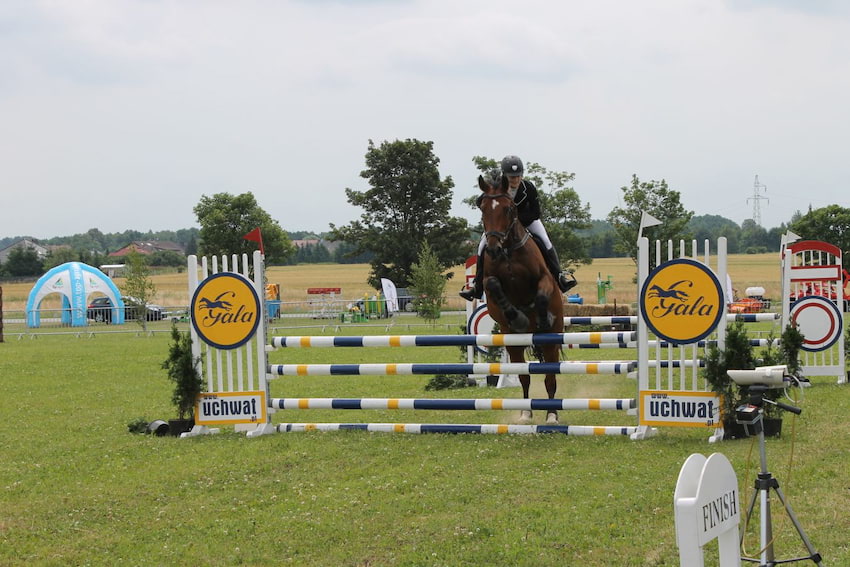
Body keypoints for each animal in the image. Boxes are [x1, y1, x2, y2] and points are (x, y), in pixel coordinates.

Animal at [476, 175, 564, 424]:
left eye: (508, 209)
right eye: (482, 208)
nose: (493, 249)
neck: (508, 251)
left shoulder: (544, 279)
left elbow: (541, 296)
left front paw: (542, 318)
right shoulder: (489, 284)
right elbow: (493, 285)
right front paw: (518, 318)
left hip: (552, 341)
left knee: (550, 377)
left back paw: (552, 414)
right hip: (514, 345)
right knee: (524, 376)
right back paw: (526, 412)